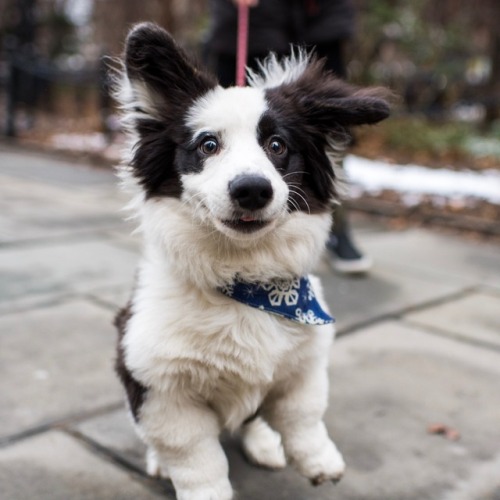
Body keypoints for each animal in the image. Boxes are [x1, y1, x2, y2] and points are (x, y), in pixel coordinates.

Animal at [114, 22, 390, 500]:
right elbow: (197, 459)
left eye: (277, 145)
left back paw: (265, 445)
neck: (247, 280)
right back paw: (158, 462)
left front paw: (320, 461)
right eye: (207, 144)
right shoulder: (160, 389)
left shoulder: (304, 365)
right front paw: (203, 489)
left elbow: (303, 415)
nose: (252, 190)